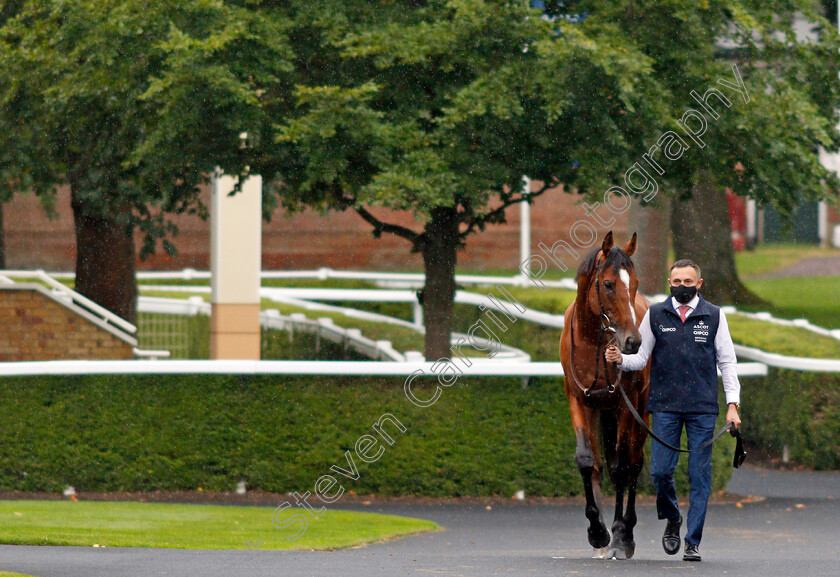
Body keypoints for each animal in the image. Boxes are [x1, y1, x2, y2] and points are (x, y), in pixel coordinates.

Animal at [560, 231, 652, 560]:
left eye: (634, 282)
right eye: (609, 284)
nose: (633, 341)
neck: (593, 341)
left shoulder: (626, 407)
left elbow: (622, 467)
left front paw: (619, 536)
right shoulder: (579, 400)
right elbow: (588, 461)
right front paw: (597, 530)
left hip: (641, 411)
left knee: (633, 463)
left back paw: (627, 533)